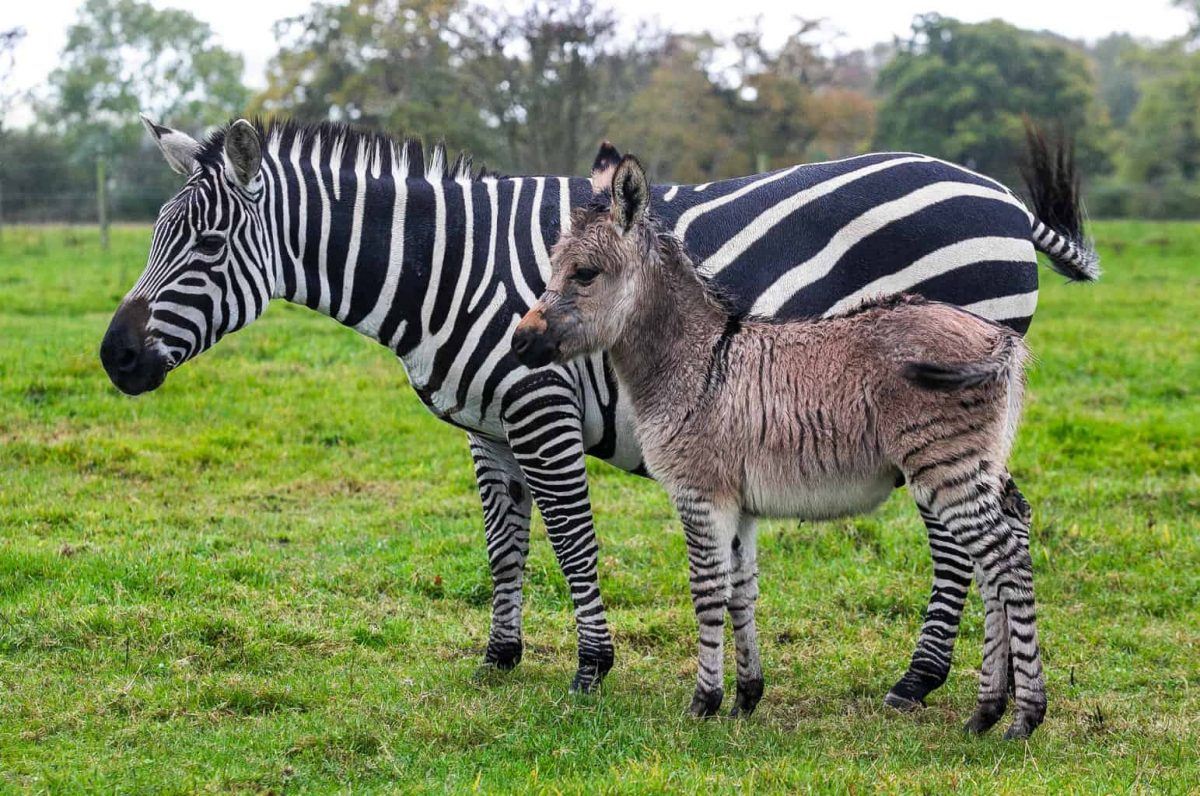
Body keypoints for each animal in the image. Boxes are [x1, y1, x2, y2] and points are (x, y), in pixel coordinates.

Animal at [100, 115, 1097, 703]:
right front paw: (500, 657)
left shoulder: (539, 405)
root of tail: (997, 194)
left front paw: (591, 664)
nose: (114, 358)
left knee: (960, 539)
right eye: (155, 239)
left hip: (936, 411)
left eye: (209, 245)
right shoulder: (489, 428)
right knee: (1000, 520)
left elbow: (573, 540)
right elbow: (504, 545)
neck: (442, 269)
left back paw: (920, 680)